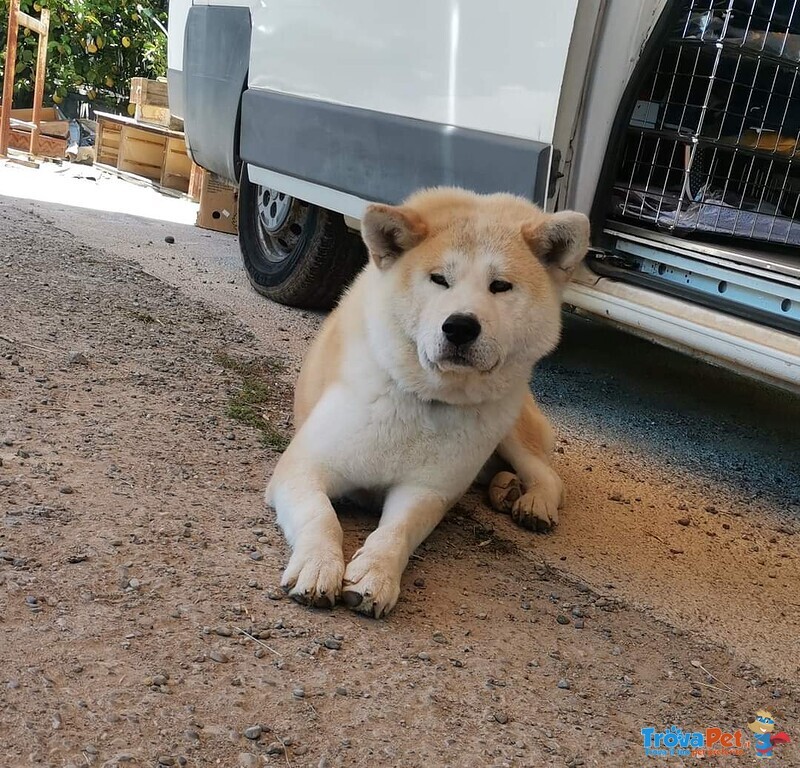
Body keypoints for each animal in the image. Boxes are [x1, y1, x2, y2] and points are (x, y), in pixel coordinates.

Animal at [266, 186, 592, 616]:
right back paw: (504, 489)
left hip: (509, 428)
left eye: (500, 286)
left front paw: (374, 574)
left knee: (546, 473)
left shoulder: (425, 491)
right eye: (439, 279)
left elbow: (396, 532)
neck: (424, 400)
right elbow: (322, 517)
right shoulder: (303, 467)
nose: (460, 327)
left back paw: (533, 501)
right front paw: (319, 565)